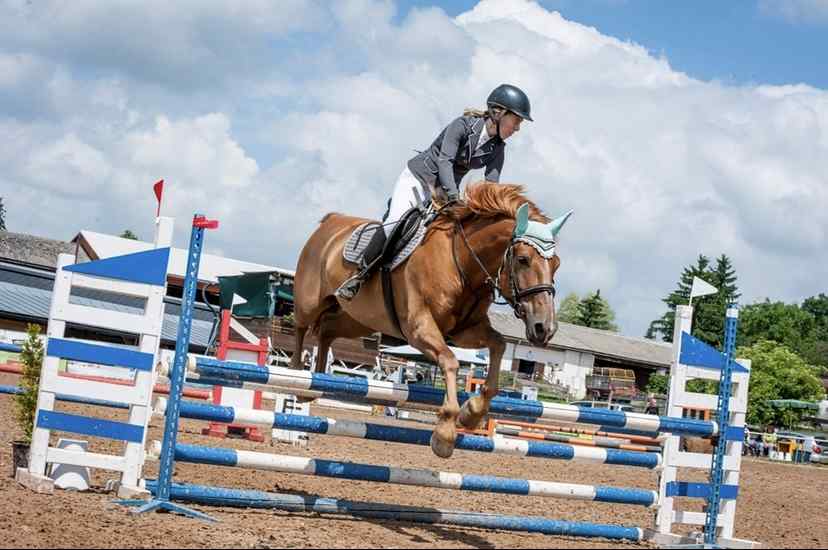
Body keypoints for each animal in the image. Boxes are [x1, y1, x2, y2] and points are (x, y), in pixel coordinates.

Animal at [290, 183, 568, 460]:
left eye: (556, 264)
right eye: (523, 259)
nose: (545, 329)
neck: (461, 263)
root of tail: (332, 221)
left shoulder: (465, 330)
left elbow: (498, 345)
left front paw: (472, 413)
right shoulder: (419, 329)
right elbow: (450, 361)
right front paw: (445, 434)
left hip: (360, 320)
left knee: (327, 330)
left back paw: (311, 387)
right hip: (310, 302)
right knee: (301, 328)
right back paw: (297, 378)